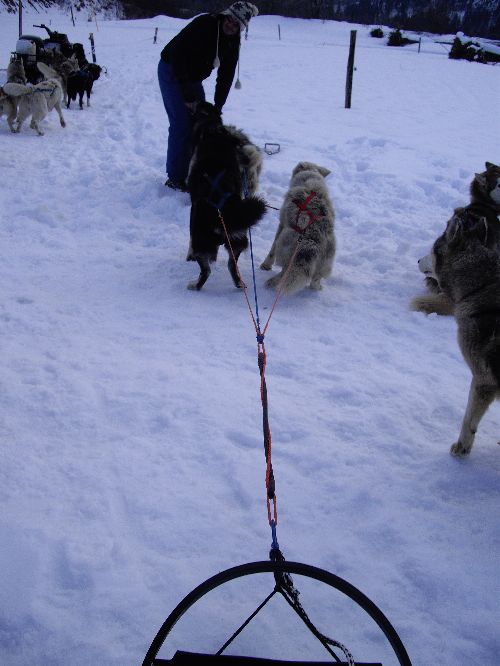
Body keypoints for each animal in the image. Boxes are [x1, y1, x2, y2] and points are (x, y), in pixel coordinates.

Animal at [187, 102, 266, 290]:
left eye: (197, 105)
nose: (188, 103)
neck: (214, 133)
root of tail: (222, 212)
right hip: (237, 243)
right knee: (232, 266)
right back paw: (239, 284)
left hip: (201, 241)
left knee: (206, 271)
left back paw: (195, 285)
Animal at [258, 161, 336, 294]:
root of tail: (312, 242)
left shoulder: (281, 225)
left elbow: (271, 251)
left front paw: (266, 265)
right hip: (324, 264)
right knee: (314, 281)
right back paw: (316, 288)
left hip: (285, 240)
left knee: (284, 272)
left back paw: (272, 283)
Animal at [412, 210, 498, 454]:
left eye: (433, 250)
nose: (418, 260)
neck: (479, 286)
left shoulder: (483, 380)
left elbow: (468, 420)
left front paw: (461, 449)